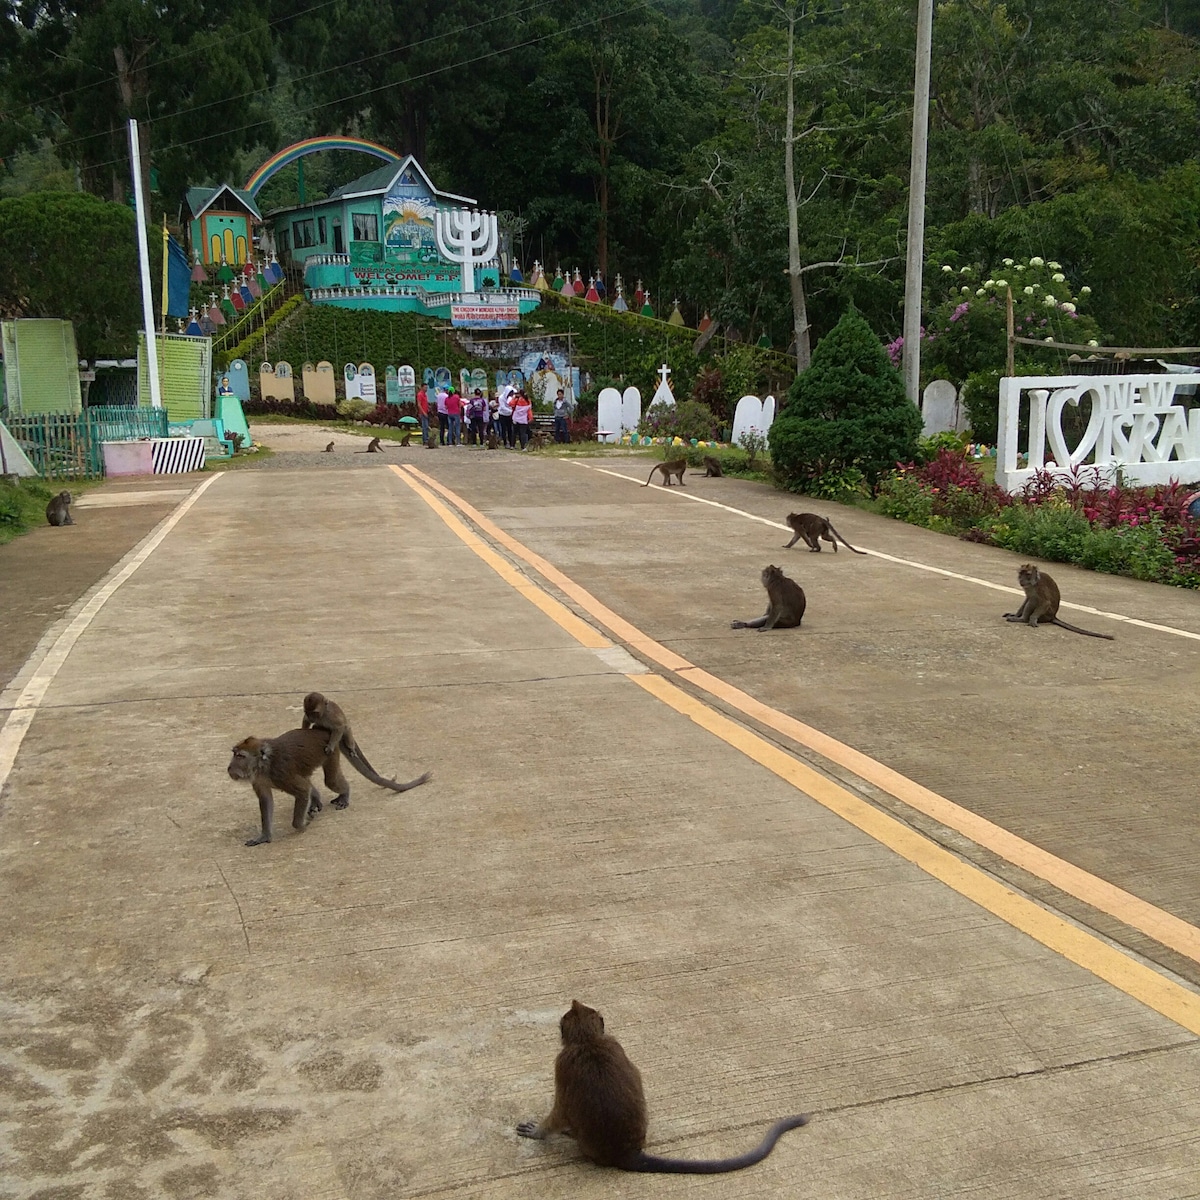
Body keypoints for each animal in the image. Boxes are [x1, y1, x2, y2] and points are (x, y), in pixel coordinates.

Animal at [297, 696, 434, 796]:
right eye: (307, 712)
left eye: (315, 712)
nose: (311, 716)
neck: (322, 715)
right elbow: (305, 721)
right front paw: (304, 728)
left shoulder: (331, 717)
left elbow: (339, 727)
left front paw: (331, 746)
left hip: (345, 732)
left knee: (346, 729)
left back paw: (350, 747)